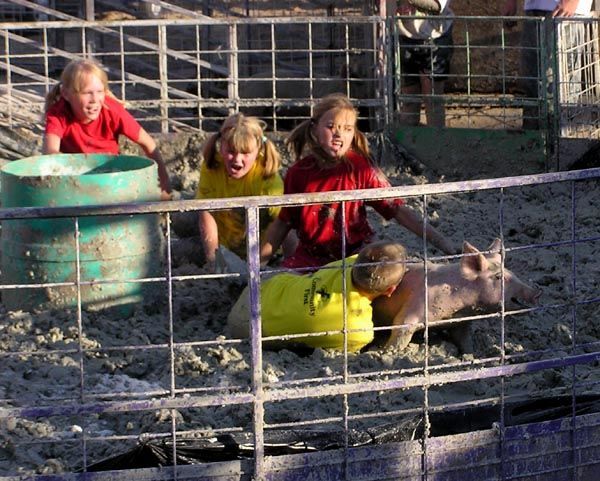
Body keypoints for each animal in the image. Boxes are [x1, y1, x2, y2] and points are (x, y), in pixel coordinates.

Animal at [368, 238, 540, 350]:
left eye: (511, 272)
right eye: (498, 277)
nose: (537, 292)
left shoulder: (461, 323)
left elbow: (464, 340)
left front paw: (469, 355)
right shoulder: (415, 306)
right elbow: (401, 327)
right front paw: (387, 353)